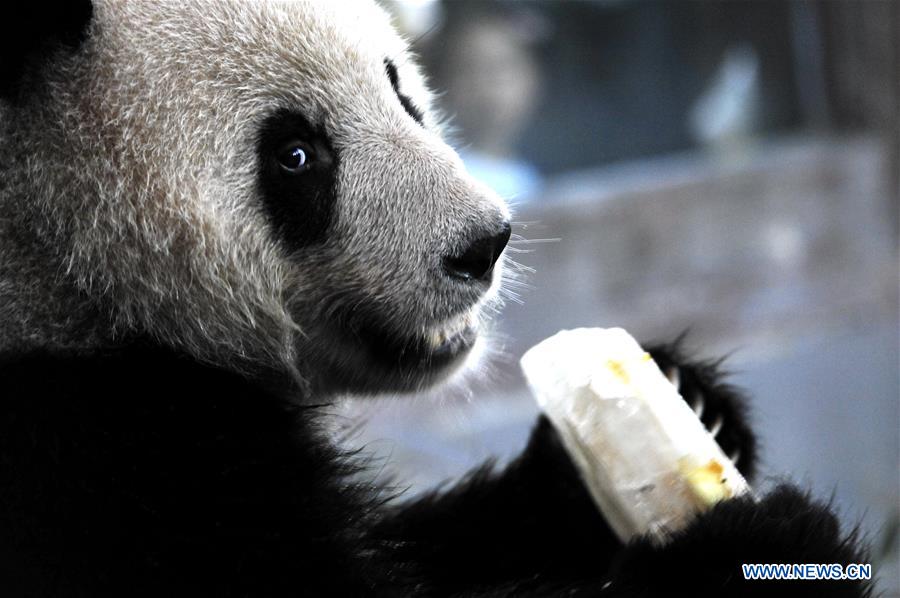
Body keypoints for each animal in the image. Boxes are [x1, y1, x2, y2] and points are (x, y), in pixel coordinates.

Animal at [0, 1, 872, 598]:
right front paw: (757, 549)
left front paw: (684, 400)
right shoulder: (108, 468)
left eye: (399, 88)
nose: (484, 243)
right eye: (295, 154)